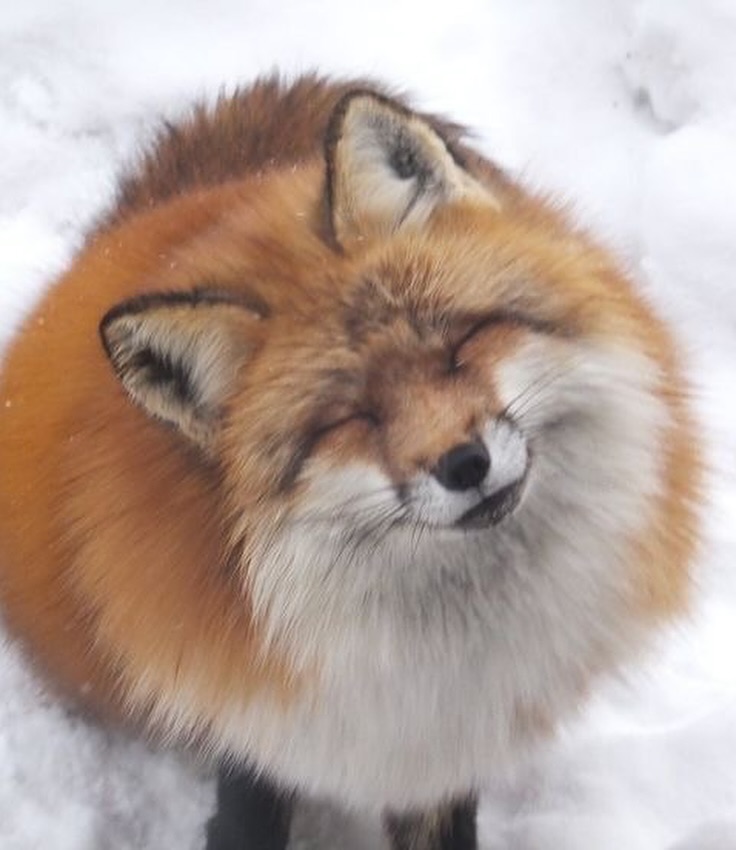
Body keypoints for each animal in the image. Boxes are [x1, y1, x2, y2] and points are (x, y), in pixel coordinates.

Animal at [0, 73, 701, 850]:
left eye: (459, 347)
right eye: (353, 419)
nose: (464, 465)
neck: (450, 650)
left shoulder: (443, 754)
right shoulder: (258, 726)